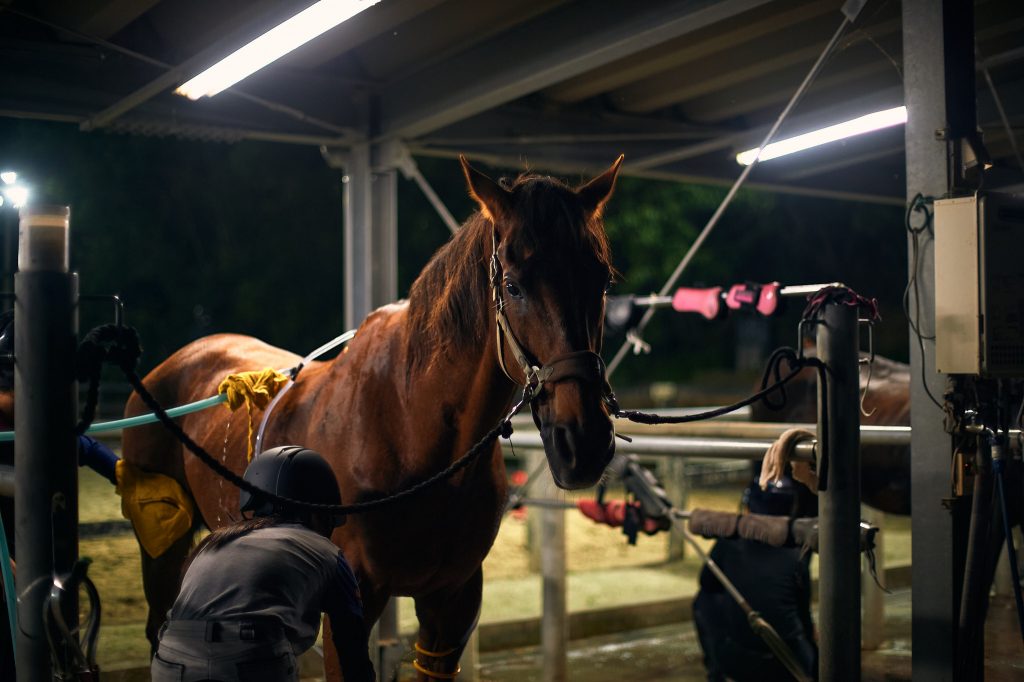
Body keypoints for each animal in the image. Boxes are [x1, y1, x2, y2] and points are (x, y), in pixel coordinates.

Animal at [121, 156, 623, 680]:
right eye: (513, 285)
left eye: (602, 281)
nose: (583, 443)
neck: (411, 428)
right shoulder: (352, 596)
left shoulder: (453, 599)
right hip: (161, 541)